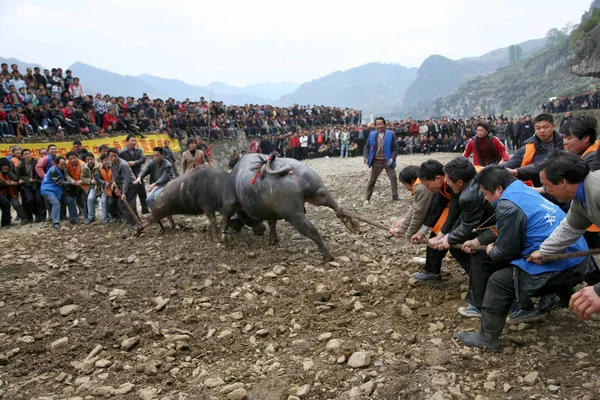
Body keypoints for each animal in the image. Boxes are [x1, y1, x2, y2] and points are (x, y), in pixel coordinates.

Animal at [221, 152, 358, 260]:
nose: (259, 230)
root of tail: (290, 171)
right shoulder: (271, 212)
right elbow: (272, 223)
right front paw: (273, 239)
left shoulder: (230, 201)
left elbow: (226, 216)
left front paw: (225, 237)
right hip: (318, 192)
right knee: (334, 205)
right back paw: (350, 222)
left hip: (294, 215)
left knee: (312, 231)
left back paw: (327, 254)